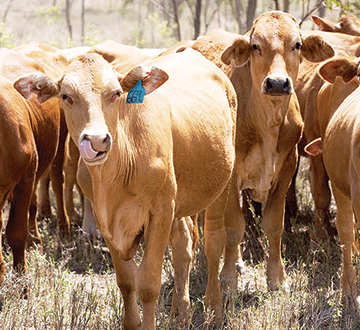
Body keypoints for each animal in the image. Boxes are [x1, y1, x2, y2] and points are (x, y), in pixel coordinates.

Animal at [14, 49, 238, 330]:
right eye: (66, 96)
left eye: (116, 93)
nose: (96, 140)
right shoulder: (107, 220)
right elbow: (127, 282)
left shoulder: (160, 213)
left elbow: (149, 284)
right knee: (183, 246)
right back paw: (180, 313)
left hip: (222, 186)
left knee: (214, 243)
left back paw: (214, 310)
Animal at [188, 11, 334, 324]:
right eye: (256, 46)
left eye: (297, 44)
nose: (277, 84)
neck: (268, 120)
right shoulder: (231, 177)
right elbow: (234, 228)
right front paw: (228, 281)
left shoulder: (287, 168)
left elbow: (274, 224)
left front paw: (277, 279)